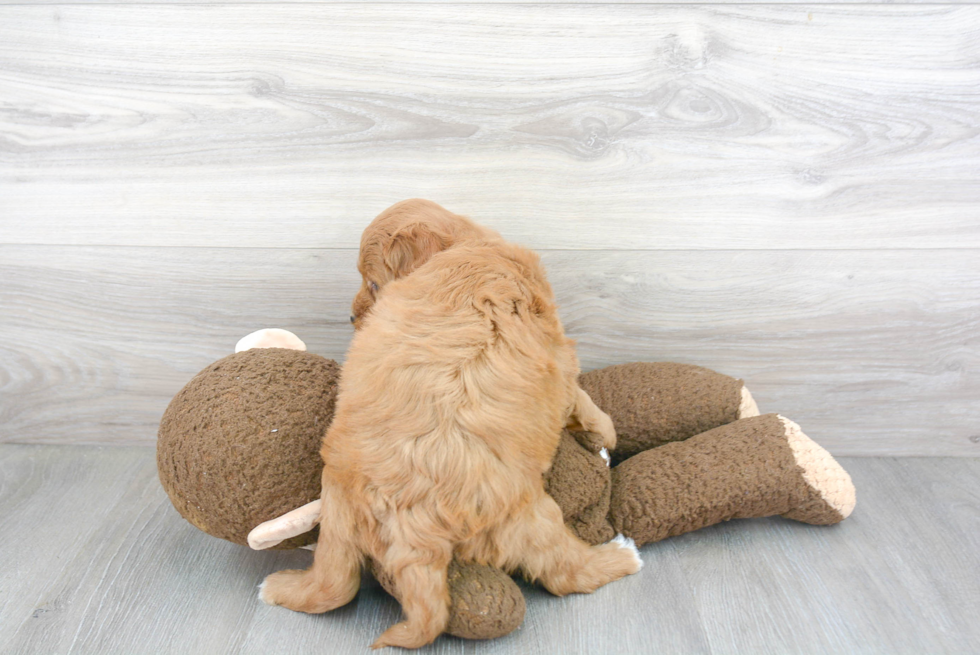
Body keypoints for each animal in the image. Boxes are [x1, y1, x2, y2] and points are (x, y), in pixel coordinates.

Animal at [256, 205, 636, 652]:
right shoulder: (559, 359)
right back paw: (622, 556)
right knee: (565, 573)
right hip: (529, 517)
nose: (350, 316)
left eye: (372, 282)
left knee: (333, 586)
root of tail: (413, 533)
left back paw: (278, 588)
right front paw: (605, 433)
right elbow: (580, 398)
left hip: (336, 514)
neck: (467, 246)